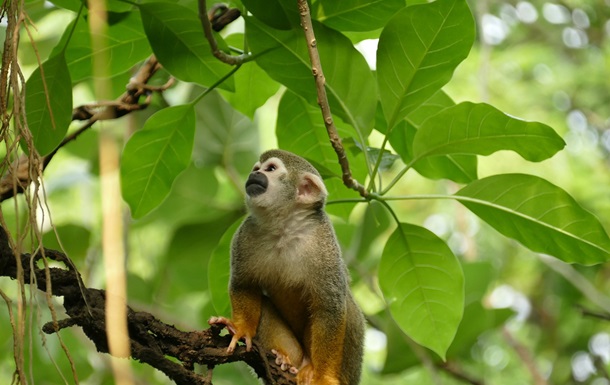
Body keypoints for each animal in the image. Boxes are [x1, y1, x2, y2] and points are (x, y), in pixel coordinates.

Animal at [209, 149, 364, 384]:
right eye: (257, 168)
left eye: (270, 169)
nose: (254, 174)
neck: (285, 227)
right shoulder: (245, 235)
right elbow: (244, 284)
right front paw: (241, 328)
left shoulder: (323, 242)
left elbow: (329, 307)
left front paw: (324, 377)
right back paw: (285, 359)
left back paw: (313, 369)